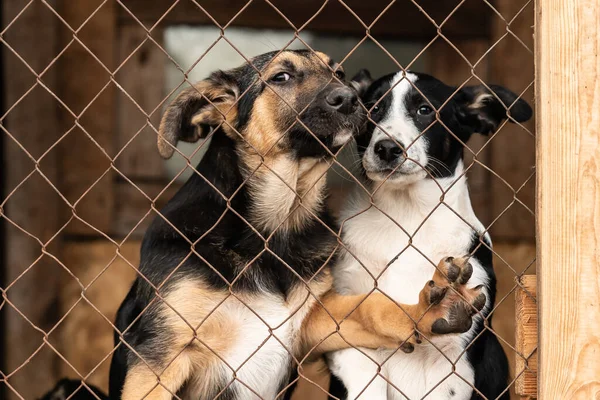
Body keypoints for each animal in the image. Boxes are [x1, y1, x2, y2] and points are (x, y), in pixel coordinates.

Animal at [99, 50, 482, 400]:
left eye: (338, 72)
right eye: (281, 77)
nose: (351, 97)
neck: (273, 229)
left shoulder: (312, 322)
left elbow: (370, 306)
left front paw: (430, 308)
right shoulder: (159, 359)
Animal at [328, 70, 536, 398]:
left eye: (425, 110)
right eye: (373, 108)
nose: (387, 148)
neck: (407, 216)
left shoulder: (456, 356)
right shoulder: (348, 331)